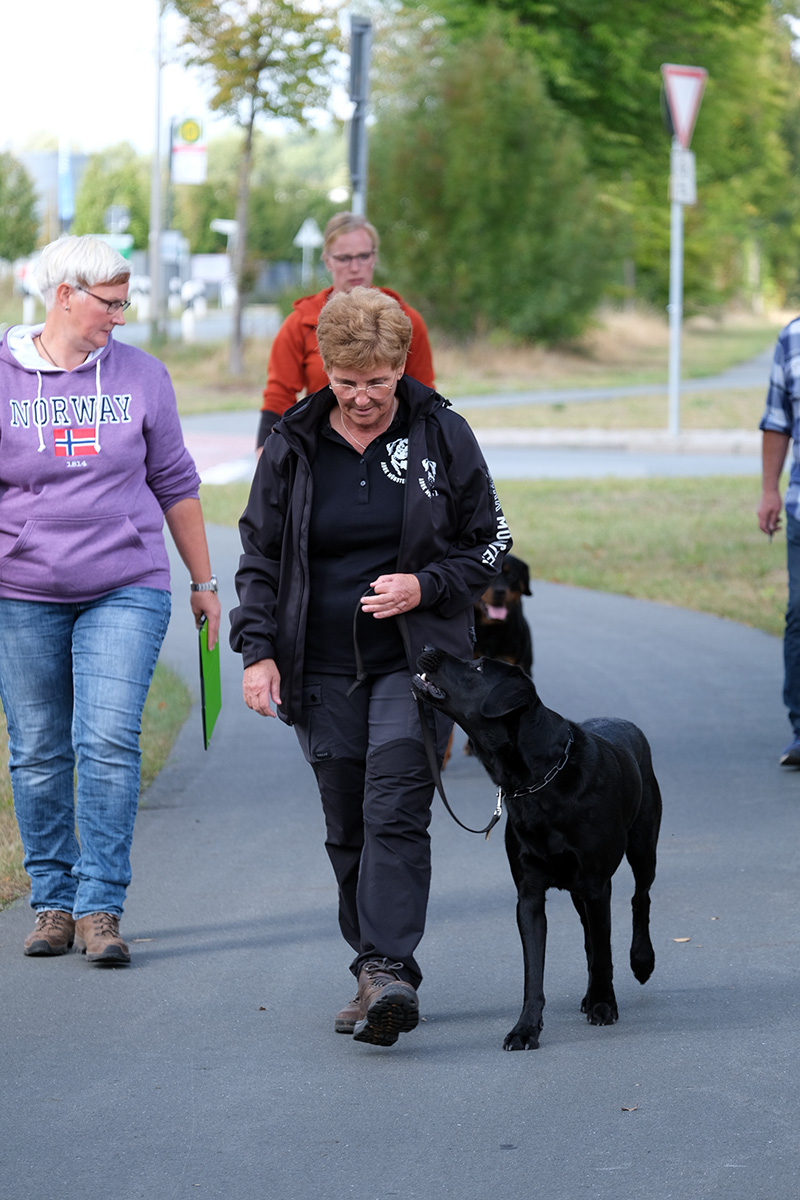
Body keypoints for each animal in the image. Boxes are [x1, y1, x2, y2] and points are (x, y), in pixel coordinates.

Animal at [412, 648, 662, 1051]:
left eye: (477, 666)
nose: (427, 649)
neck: (537, 781)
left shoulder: (596, 884)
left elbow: (604, 951)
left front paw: (604, 1005)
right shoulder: (529, 893)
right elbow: (535, 972)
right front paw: (526, 1028)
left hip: (642, 847)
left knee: (641, 898)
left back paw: (640, 962)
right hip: (578, 891)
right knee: (591, 937)